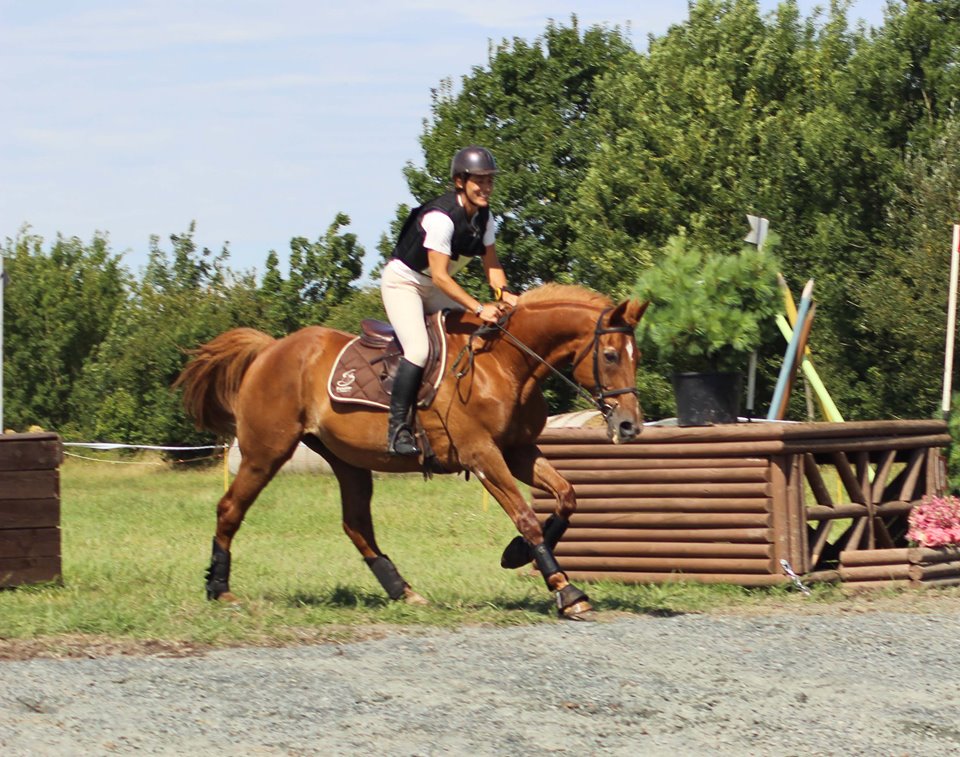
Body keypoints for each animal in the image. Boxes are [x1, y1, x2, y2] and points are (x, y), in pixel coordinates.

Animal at [176, 284, 648, 620]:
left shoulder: (518, 451)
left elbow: (566, 497)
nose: (630, 425)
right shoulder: (483, 454)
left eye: (636, 356)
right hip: (266, 451)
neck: (506, 363)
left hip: (346, 459)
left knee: (357, 526)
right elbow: (526, 516)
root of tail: (271, 348)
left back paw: (403, 591)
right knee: (230, 509)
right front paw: (566, 590)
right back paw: (219, 588)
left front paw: (516, 555)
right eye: (610, 355)